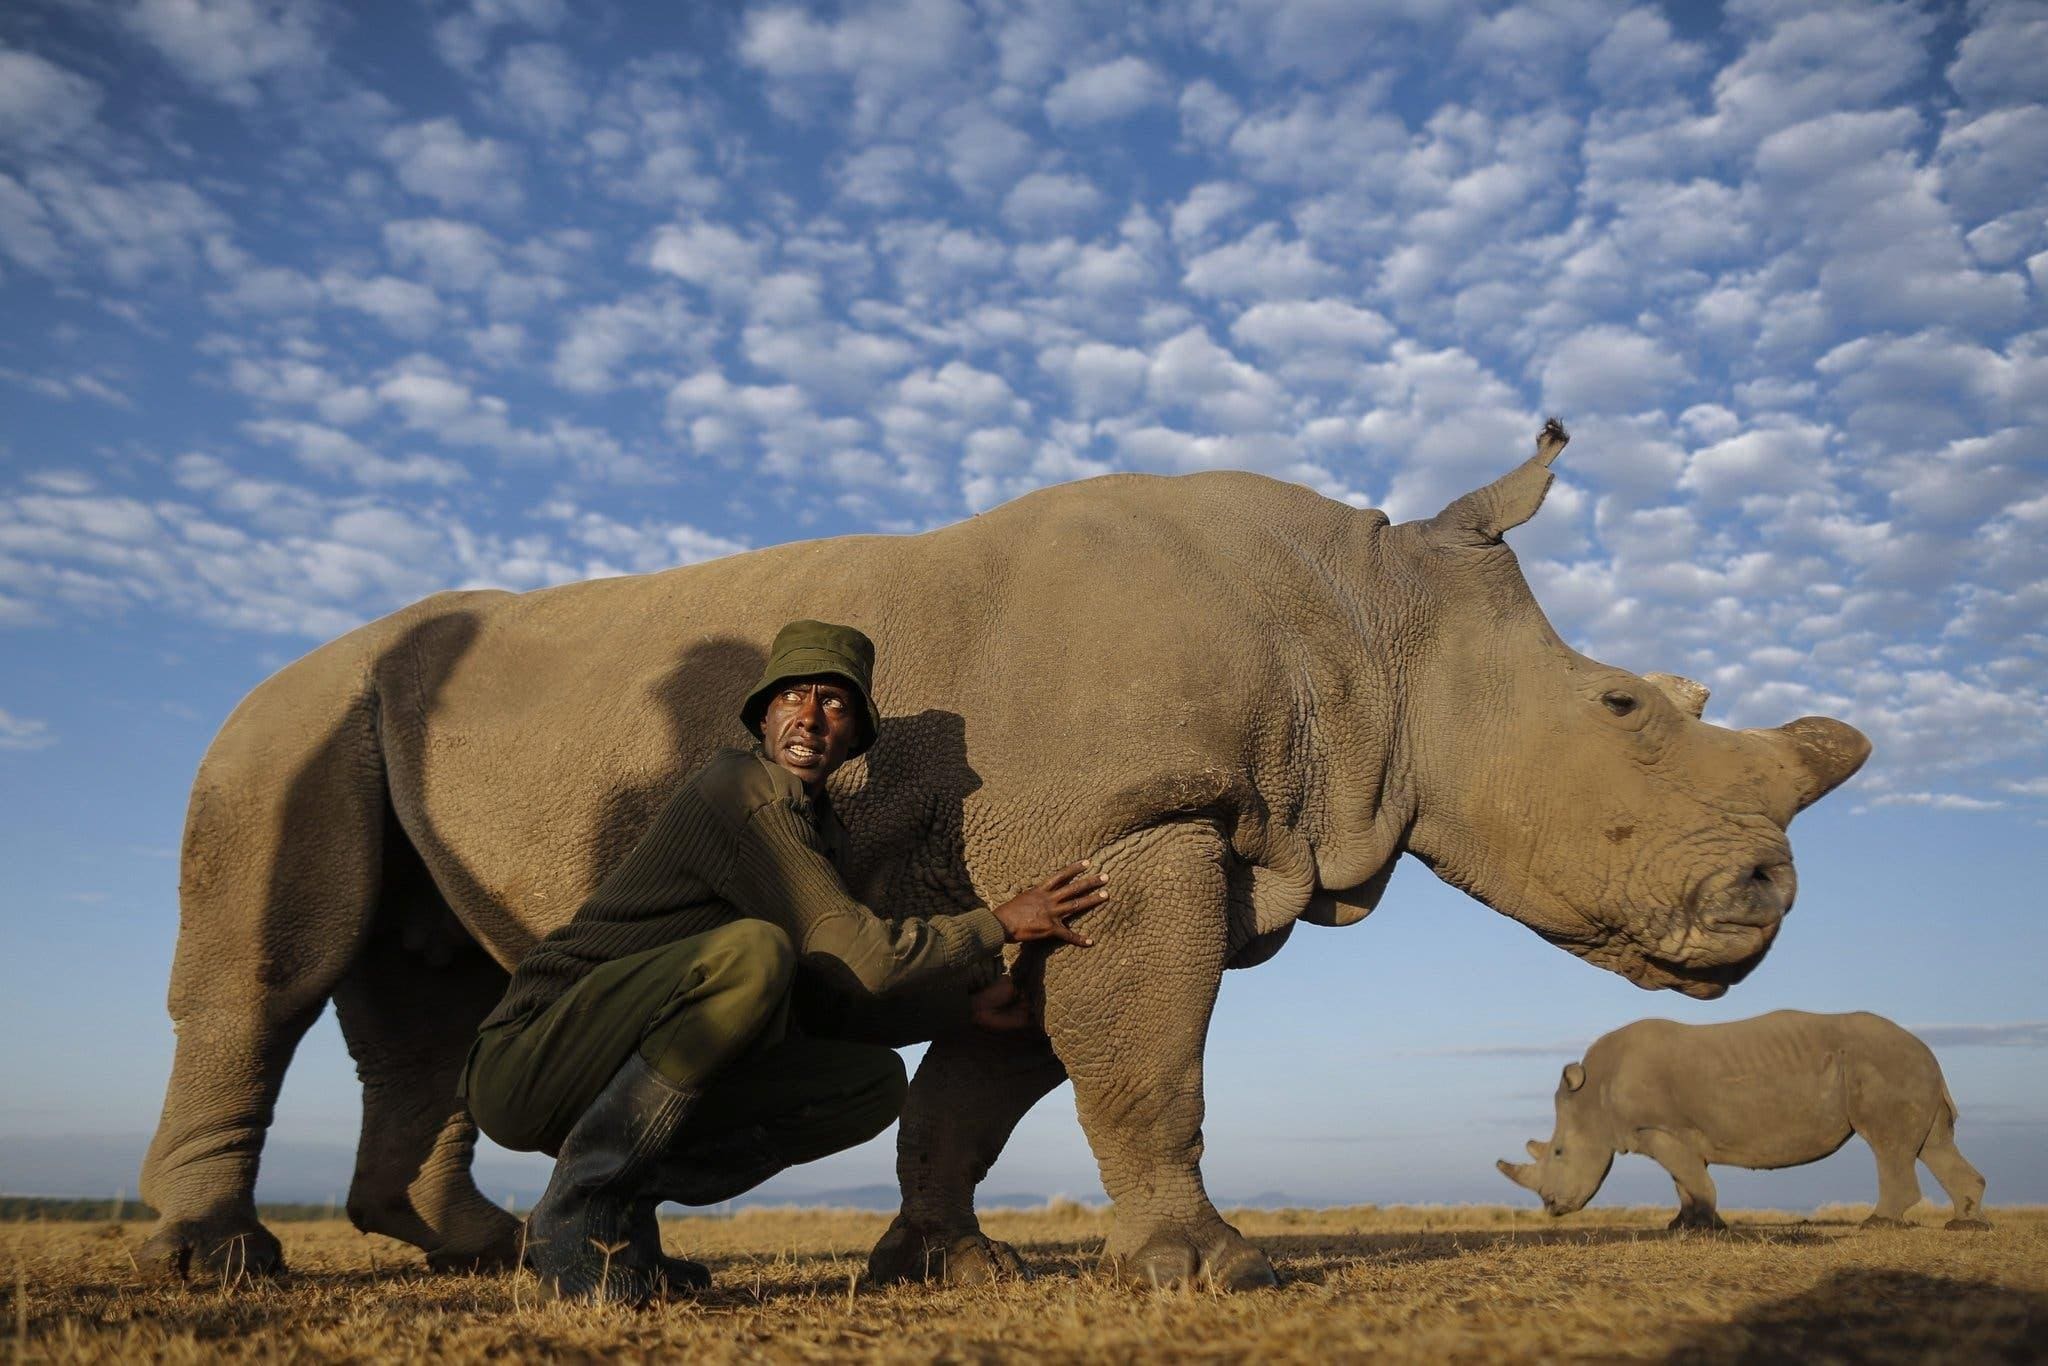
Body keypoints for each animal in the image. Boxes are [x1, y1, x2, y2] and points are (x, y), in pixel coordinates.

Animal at [136, 423, 1875, 1294]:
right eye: (1625, 708)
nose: (1772, 900)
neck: (1377, 619)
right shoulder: (1138, 826)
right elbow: (1150, 1059)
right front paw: (1211, 1272)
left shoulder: (1092, 851)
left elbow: (992, 1081)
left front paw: (942, 1266)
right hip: (287, 719)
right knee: (271, 970)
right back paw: (230, 1267)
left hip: (387, 721)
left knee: (421, 991)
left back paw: (477, 1247)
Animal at [1499, 1011, 1990, 1236]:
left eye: (1558, 1152)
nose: (1550, 1207)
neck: (1594, 1096)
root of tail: (1927, 1049)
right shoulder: (1675, 1134)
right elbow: (1686, 1180)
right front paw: (1685, 1226)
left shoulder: (1659, 1130)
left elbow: (1693, 1178)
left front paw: (1703, 1227)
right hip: (1906, 1066)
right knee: (1932, 1145)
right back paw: (1965, 1225)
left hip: (1884, 1064)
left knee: (1886, 1145)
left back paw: (1877, 1223)